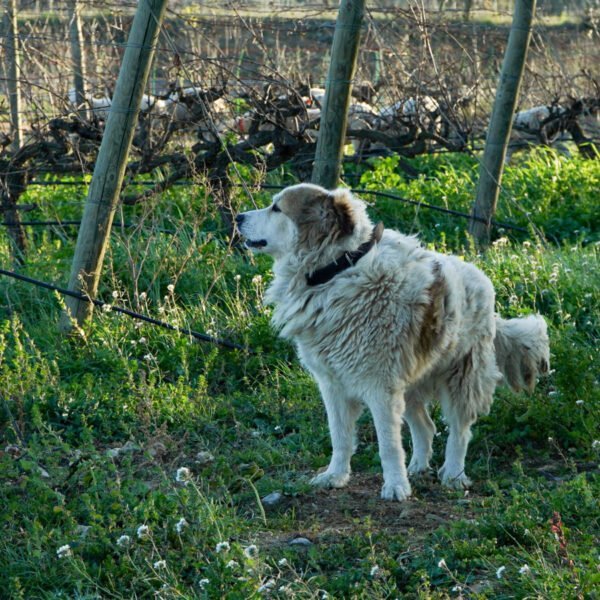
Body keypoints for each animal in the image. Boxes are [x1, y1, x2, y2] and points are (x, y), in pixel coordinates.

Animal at [236, 184, 548, 502]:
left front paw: (396, 487)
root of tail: (481, 278)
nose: (237, 217)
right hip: (410, 385)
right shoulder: (332, 384)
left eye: (277, 208)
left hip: (462, 377)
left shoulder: (379, 388)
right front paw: (336, 476)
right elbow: (340, 436)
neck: (337, 270)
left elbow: (388, 445)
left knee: (459, 431)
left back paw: (453, 475)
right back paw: (418, 468)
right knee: (426, 427)